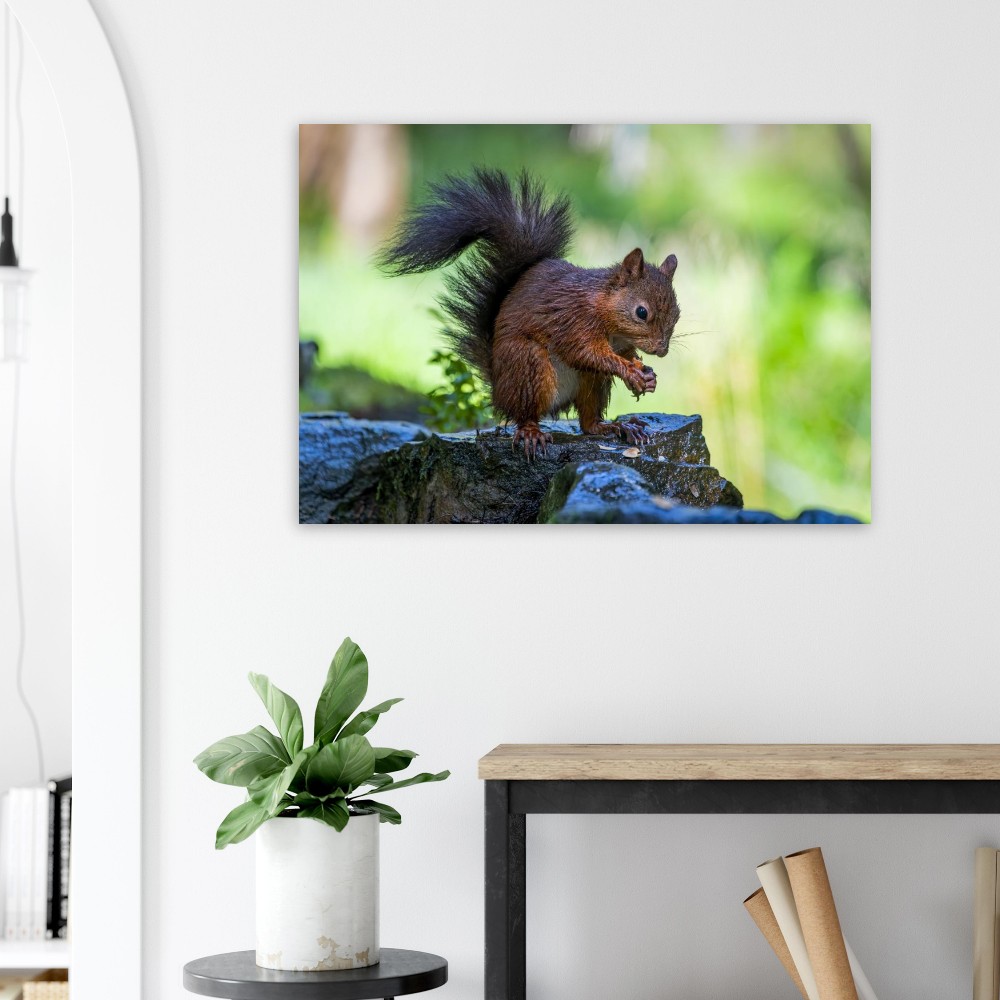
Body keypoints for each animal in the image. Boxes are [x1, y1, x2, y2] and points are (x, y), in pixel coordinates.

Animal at [377, 168, 680, 456]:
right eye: (642, 312)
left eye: (677, 314)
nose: (662, 350)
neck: (606, 312)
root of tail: (498, 389)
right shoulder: (574, 321)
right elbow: (586, 352)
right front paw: (630, 371)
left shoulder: (619, 342)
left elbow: (623, 354)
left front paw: (645, 373)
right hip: (528, 366)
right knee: (525, 414)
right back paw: (532, 432)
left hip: (591, 382)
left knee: (588, 422)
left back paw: (616, 426)